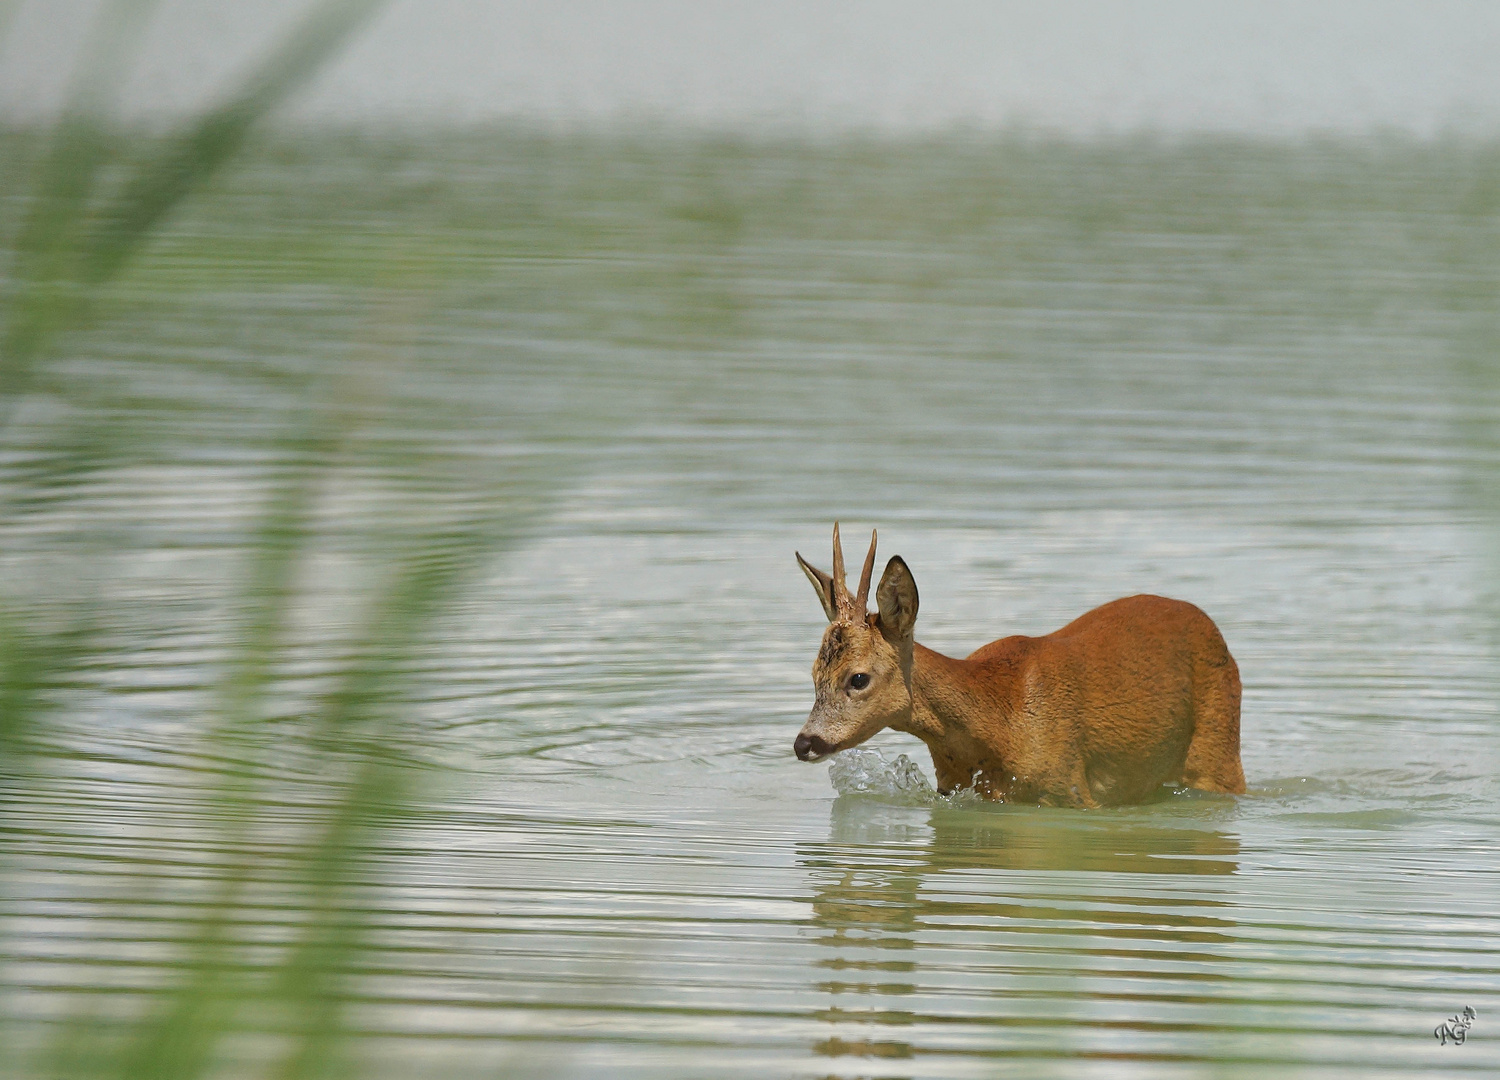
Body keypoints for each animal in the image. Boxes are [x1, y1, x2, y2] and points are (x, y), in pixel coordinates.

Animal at [792, 528, 1248, 804]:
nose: (804, 743)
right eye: (813, 675)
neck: (999, 719)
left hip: (1218, 746)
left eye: (858, 678)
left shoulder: (1072, 786)